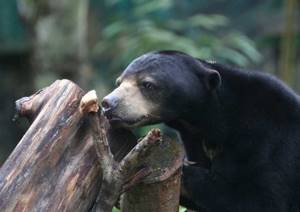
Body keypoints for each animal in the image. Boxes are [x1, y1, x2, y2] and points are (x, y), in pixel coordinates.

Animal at [101, 50, 300, 211]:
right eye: (119, 82)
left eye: (147, 84)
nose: (108, 104)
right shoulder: (195, 140)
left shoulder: (268, 139)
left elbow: (261, 199)